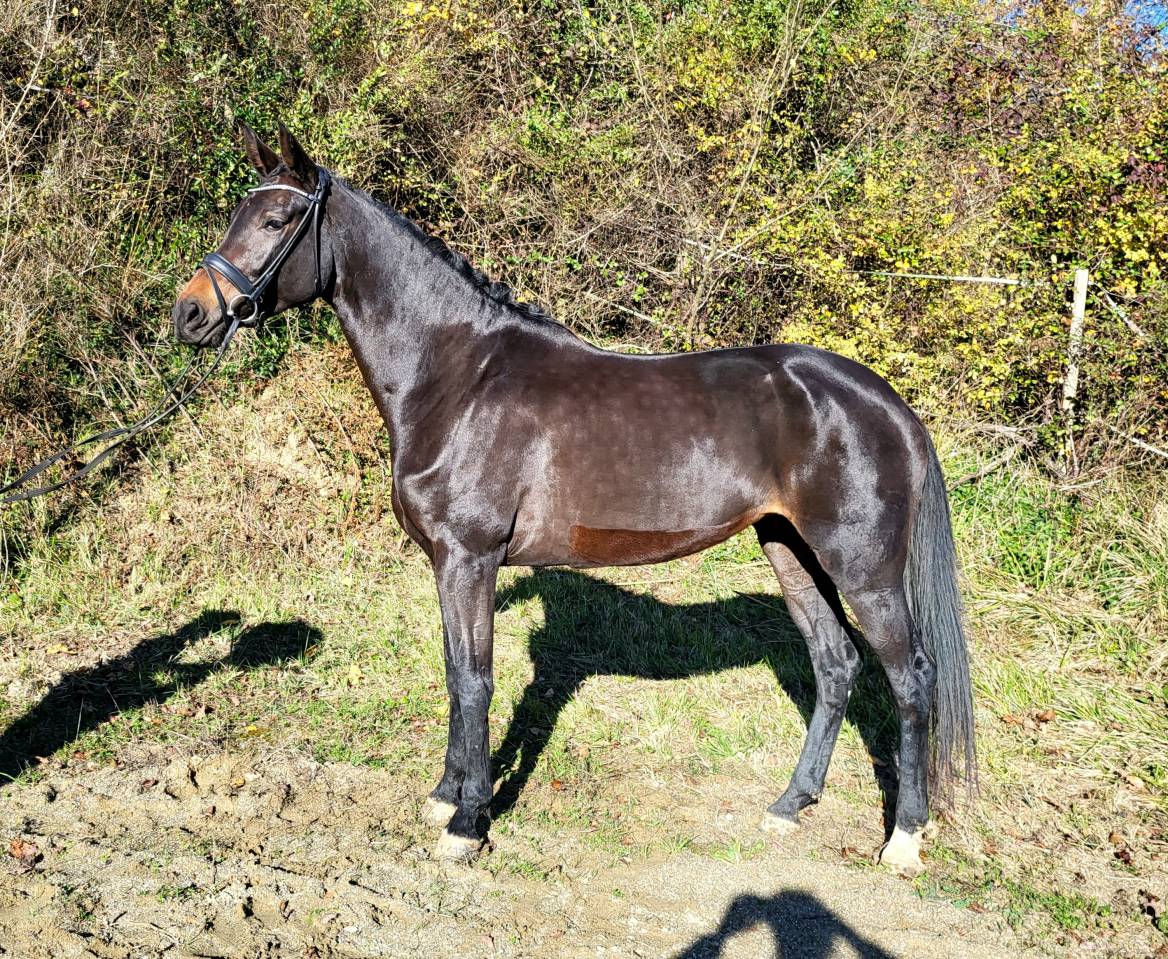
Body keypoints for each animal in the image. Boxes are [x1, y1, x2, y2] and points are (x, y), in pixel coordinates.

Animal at [172, 123, 976, 875]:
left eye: (277, 220)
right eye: (238, 212)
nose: (189, 313)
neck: (460, 377)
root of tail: (888, 405)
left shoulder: (470, 558)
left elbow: (475, 679)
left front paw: (469, 822)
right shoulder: (446, 564)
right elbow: (453, 671)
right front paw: (444, 796)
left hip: (863, 569)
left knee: (911, 678)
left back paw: (903, 838)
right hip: (790, 548)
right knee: (835, 665)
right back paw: (789, 805)